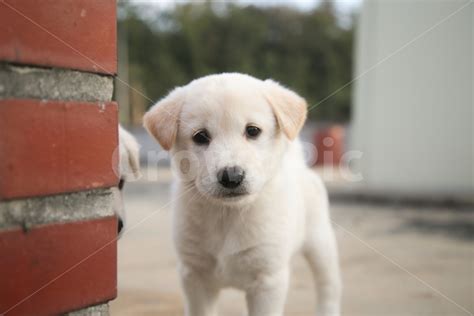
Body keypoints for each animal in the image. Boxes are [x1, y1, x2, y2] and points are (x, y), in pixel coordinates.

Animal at [143, 73, 340, 316]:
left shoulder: (267, 281)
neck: (228, 215)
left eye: (252, 131)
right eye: (200, 136)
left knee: (328, 286)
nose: (231, 176)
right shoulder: (194, 276)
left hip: (321, 243)